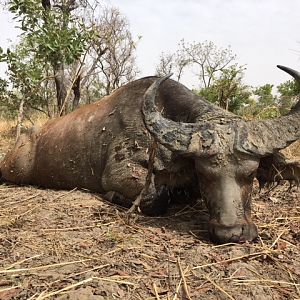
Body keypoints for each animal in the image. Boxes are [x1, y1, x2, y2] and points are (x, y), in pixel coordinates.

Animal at [0, 64, 300, 243]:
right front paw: (114, 197)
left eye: (251, 173)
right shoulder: (121, 174)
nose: (230, 232)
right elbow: (157, 198)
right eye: (204, 174)